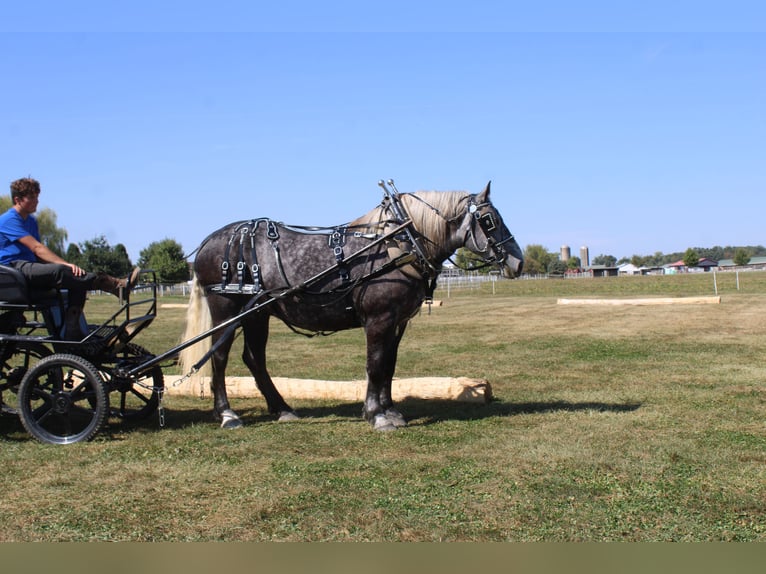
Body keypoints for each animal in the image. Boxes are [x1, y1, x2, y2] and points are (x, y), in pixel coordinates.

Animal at [178, 181, 523, 431]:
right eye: (489, 220)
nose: (518, 262)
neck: (398, 244)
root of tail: (209, 242)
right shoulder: (379, 319)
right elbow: (375, 364)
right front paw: (376, 415)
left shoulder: (397, 322)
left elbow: (389, 365)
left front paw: (390, 410)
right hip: (227, 308)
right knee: (219, 357)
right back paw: (227, 414)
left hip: (257, 314)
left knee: (254, 359)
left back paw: (283, 409)